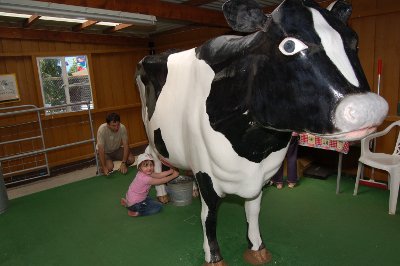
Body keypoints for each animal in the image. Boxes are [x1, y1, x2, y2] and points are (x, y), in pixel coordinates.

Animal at [135, 0, 388, 264]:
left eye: (354, 41)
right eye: (289, 45)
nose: (369, 106)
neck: (253, 149)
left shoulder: (261, 176)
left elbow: (253, 210)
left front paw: (257, 247)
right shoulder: (205, 169)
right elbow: (209, 215)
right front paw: (214, 256)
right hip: (151, 131)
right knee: (152, 154)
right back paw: (162, 193)